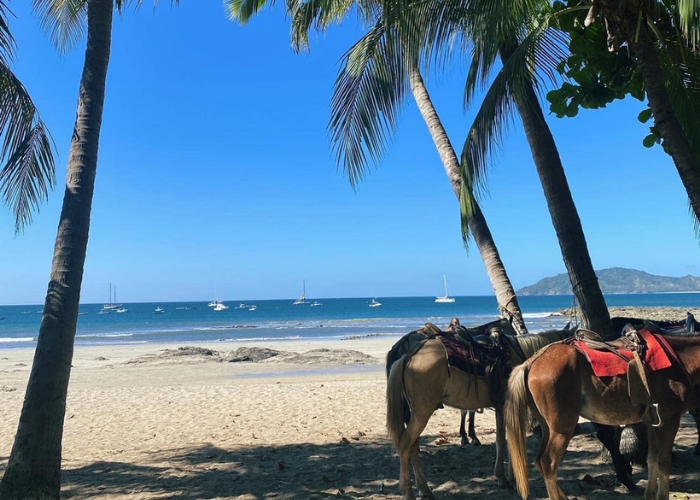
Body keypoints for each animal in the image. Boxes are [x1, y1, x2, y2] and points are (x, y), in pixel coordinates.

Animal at [386, 326, 572, 498]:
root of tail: (408, 356)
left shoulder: (502, 407)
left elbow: (505, 441)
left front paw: (509, 478)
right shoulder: (506, 406)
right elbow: (505, 441)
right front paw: (505, 479)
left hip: (416, 414)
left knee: (413, 446)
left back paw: (424, 489)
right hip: (422, 412)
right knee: (406, 444)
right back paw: (408, 492)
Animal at [506, 324, 700, 500]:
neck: (679, 359)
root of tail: (531, 362)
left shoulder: (654, 423)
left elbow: (652, 459)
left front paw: (650, 495)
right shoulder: (670, 420)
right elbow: (664, 462)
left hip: (547, 427)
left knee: (539, 462)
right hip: (562, 428)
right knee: (548, 464)